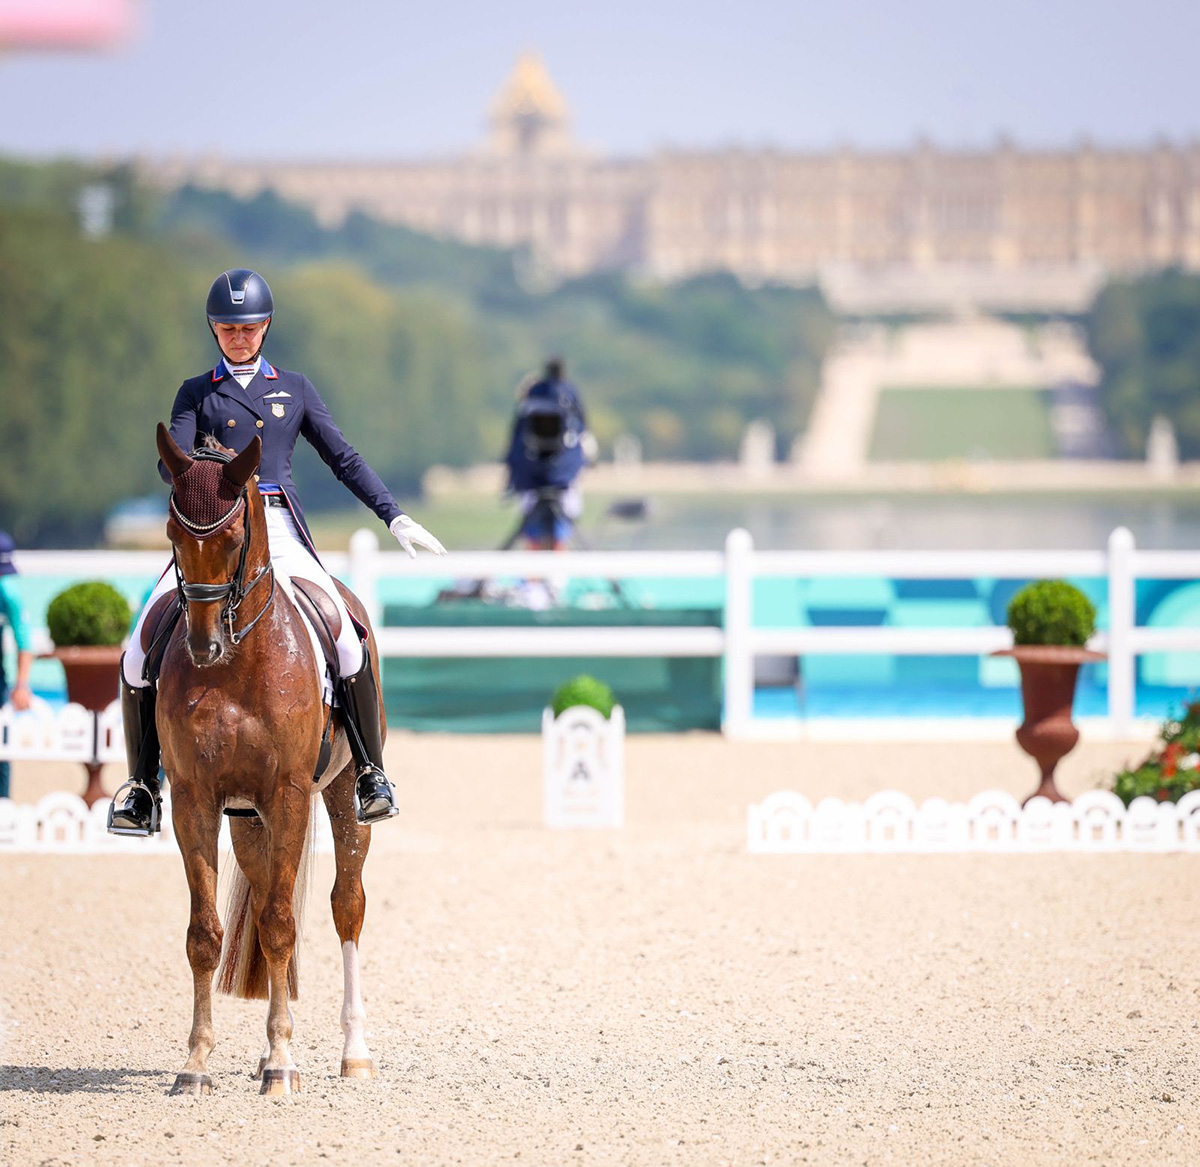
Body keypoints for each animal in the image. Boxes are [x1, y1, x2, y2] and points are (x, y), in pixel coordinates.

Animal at [154, 425, 379, 1099]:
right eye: (173, 533)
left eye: (233, 538)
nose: (203, 647)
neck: (237, 665)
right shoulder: (194, 798)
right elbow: (206, 935)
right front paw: (196, 1063)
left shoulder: (288, 792)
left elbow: (281, 924)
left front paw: (282, 1065)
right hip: (248, 819)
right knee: (259, 899)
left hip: (340, 795)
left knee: (345, 906)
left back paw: (353, 1052)